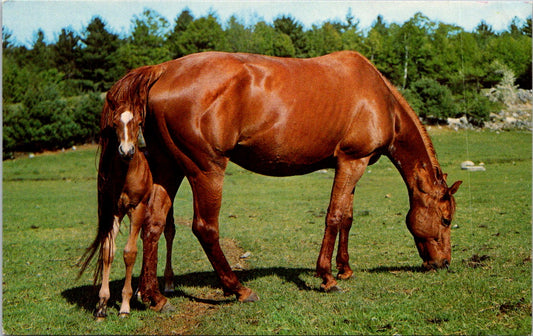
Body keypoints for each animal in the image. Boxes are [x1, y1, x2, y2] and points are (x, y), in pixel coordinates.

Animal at [104, 51, 462, 306]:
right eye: (446, 219)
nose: (443, 263)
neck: (378, 97)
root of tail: (164, 70)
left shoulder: (352, 165)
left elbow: (347, 217)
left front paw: (345, 269)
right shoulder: (352, 162)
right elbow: (334, 216)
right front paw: (327, 277)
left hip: (169, 168)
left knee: (153, 224)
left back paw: (154, 296)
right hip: (205, 170)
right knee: (205, 228)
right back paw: (239, 289)